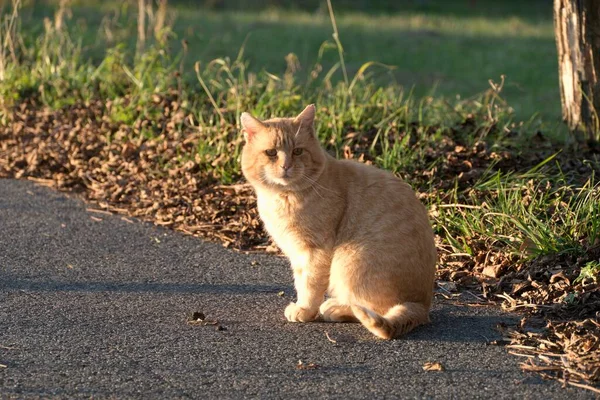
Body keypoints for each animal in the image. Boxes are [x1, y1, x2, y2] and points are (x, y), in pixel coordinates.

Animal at [239, 104, 436, 340]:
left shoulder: (315, 250)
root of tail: (422, 306)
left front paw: (304, 310)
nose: (286, 166)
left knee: (370, 308)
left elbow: (310, 284)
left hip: (350, 260)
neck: (283, 197)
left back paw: (335, 308)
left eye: (298, 151)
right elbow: (300, 280)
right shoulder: (297, 253)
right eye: (271, 153)